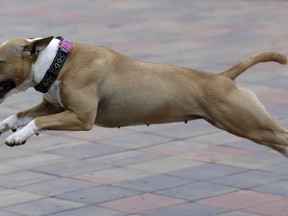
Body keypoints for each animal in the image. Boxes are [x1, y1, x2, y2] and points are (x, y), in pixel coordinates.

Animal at [0, 36, 288, 156]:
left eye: (0, 60)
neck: (58, 61)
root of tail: (224, 77)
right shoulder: (53, 105)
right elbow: (21, 115)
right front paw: (7, 126)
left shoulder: (81, 118)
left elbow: (37, 122)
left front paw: (17, 137)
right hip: (247, 128)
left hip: (251, 124)